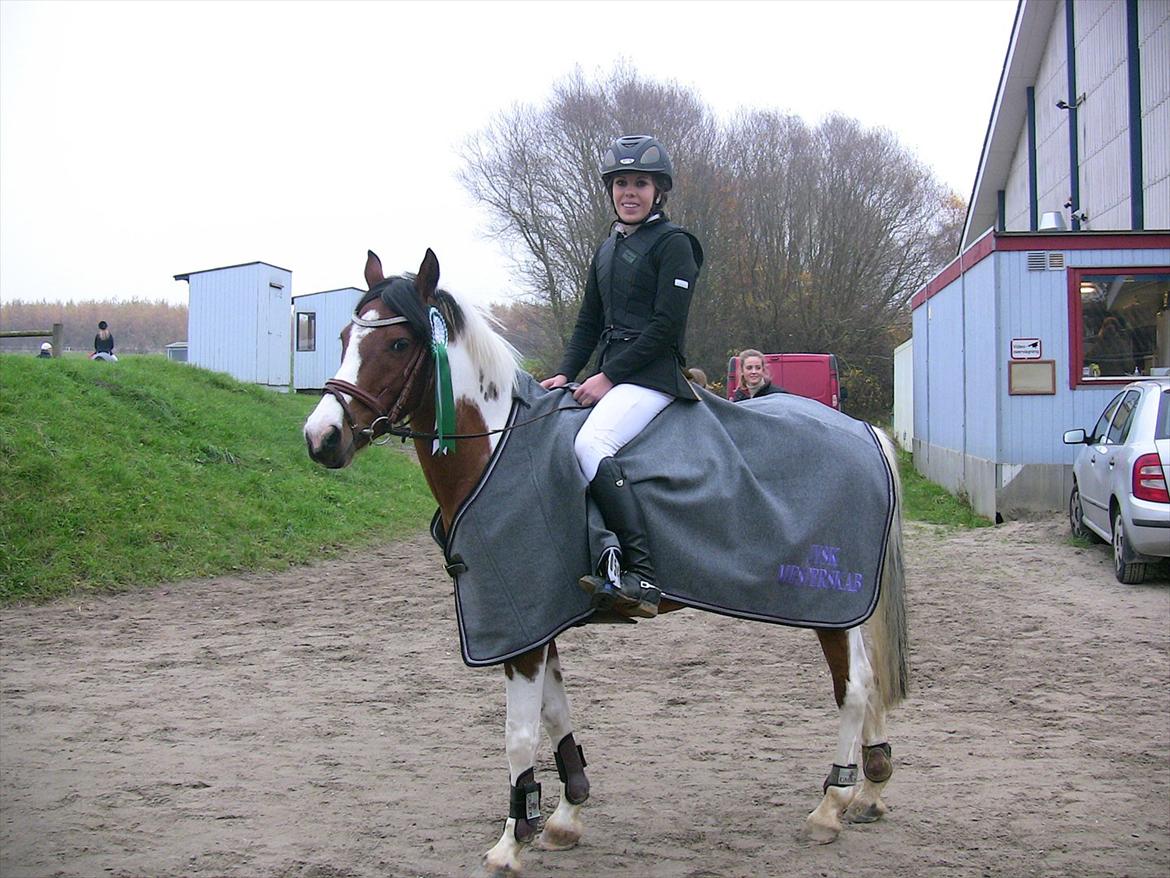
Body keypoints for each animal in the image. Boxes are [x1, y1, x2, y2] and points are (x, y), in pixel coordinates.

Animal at [303, 248, 910, 876]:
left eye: (398, 344)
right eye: (344, 336)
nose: (322, 438)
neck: (496, 447)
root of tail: (865, 432)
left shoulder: (517, 622)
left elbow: (518, 733)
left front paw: (511, 841)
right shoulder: (538, 617)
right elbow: (555, 714)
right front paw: (564, 816)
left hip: (830, 602)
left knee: (855, 687)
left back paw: (831, 805)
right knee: (869, 684)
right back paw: (870, 787)